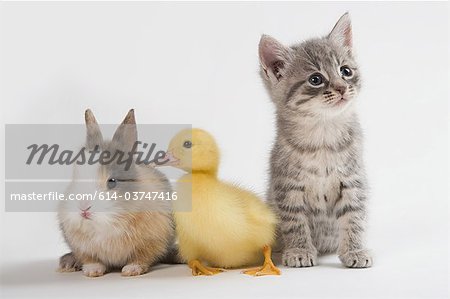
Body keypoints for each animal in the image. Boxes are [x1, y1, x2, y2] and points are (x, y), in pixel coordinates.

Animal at [55, 109, 174, 278]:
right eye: (75, 177)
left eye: (112, 181)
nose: (83, 208)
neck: (110, 223)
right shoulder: (81, 246)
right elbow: (90, 258)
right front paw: (93, 271)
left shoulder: (152, 241)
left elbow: (142, 257)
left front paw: (131, 270)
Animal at [260, 12, 372, 268]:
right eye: (316, 79)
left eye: (346, 71)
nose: (342, 88)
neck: (323, 136)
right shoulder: (287, 186)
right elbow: (295, 221)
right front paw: (299, 250)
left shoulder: (353, 181)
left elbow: (354, 218)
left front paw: (354, 250)